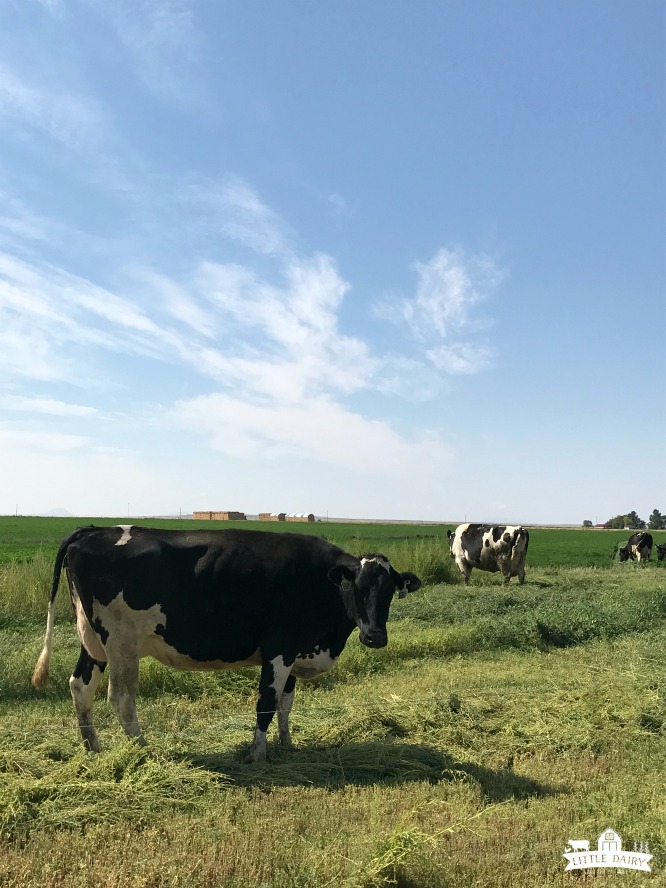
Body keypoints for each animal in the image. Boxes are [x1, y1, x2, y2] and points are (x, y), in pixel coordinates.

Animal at [32, 528, 420, 764]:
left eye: (389, 592)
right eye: (356, 587)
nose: (375, 636)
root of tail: (94, 529)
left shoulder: (295, 650)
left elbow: (286, 704)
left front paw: (287, 744)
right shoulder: (278, 647)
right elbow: (266, 703)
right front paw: (257, 754)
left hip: (94, 640)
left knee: (81, 686)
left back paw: (92, 748)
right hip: (121, 640)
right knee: (121, 697)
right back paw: (142, 749)